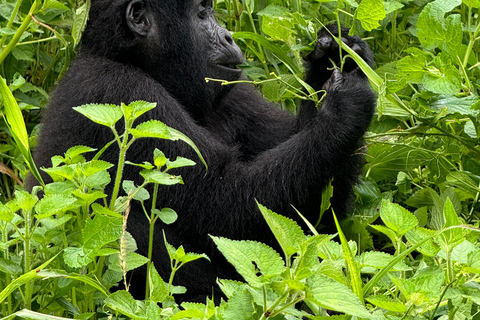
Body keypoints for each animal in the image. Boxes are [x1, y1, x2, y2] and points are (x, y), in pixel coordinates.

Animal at [31, 0, 376, 302]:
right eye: (201, 14)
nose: (228, 36)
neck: (128, 58)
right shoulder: (121, 93)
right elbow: (227, 204)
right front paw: (342, 113)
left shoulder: (234, 90)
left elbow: (316, 217)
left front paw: (336, 59)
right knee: (130, 220)